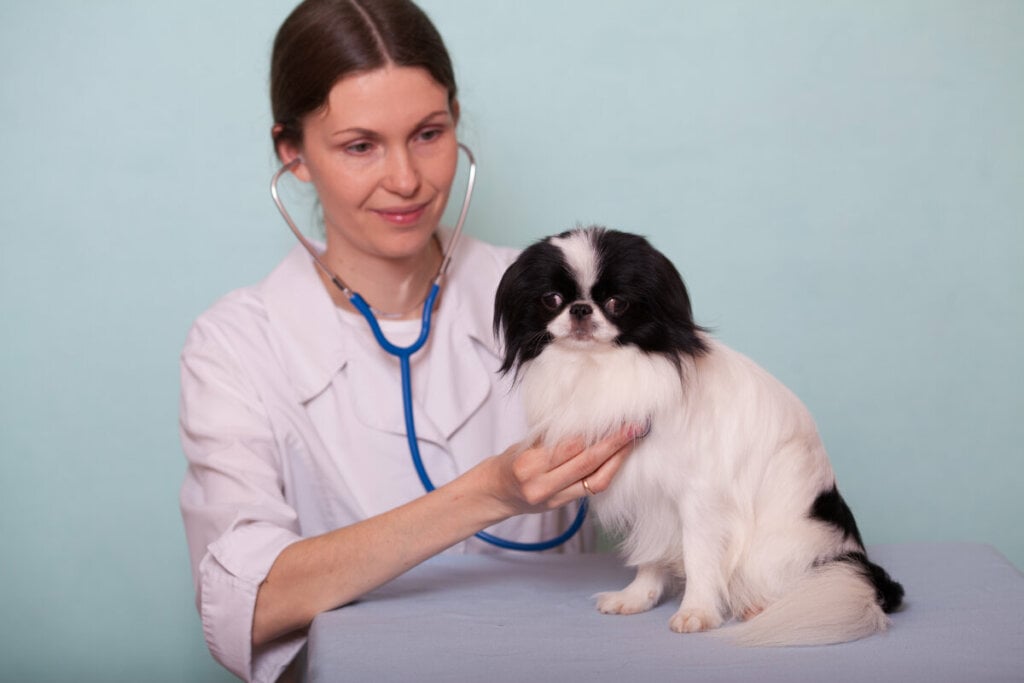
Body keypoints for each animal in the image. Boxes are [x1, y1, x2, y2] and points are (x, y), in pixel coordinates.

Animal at [495, 225, 905, 647]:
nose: (580, 309)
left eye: (616, 303)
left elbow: (699, 558)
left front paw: (697, 612)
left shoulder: (700, 500)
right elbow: (651, 554)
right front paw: (638, 597)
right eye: (551, 299)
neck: (599, 366)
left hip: (782, 547)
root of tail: (866, 572)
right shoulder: (650, 498)